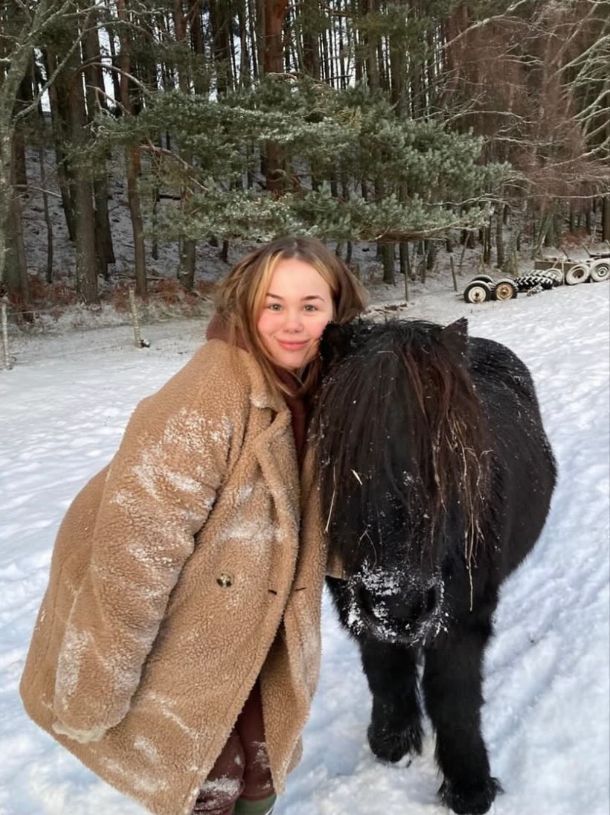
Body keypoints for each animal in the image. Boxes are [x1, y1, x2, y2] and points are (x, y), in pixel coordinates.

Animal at [311, 318, 556, 815]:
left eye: (449, 453)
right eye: (342, 449)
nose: (399, 602)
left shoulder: (462, 620)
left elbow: (453, 694)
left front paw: (469, 786)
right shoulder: (360, 608)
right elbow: (384, 668)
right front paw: (392, 741)